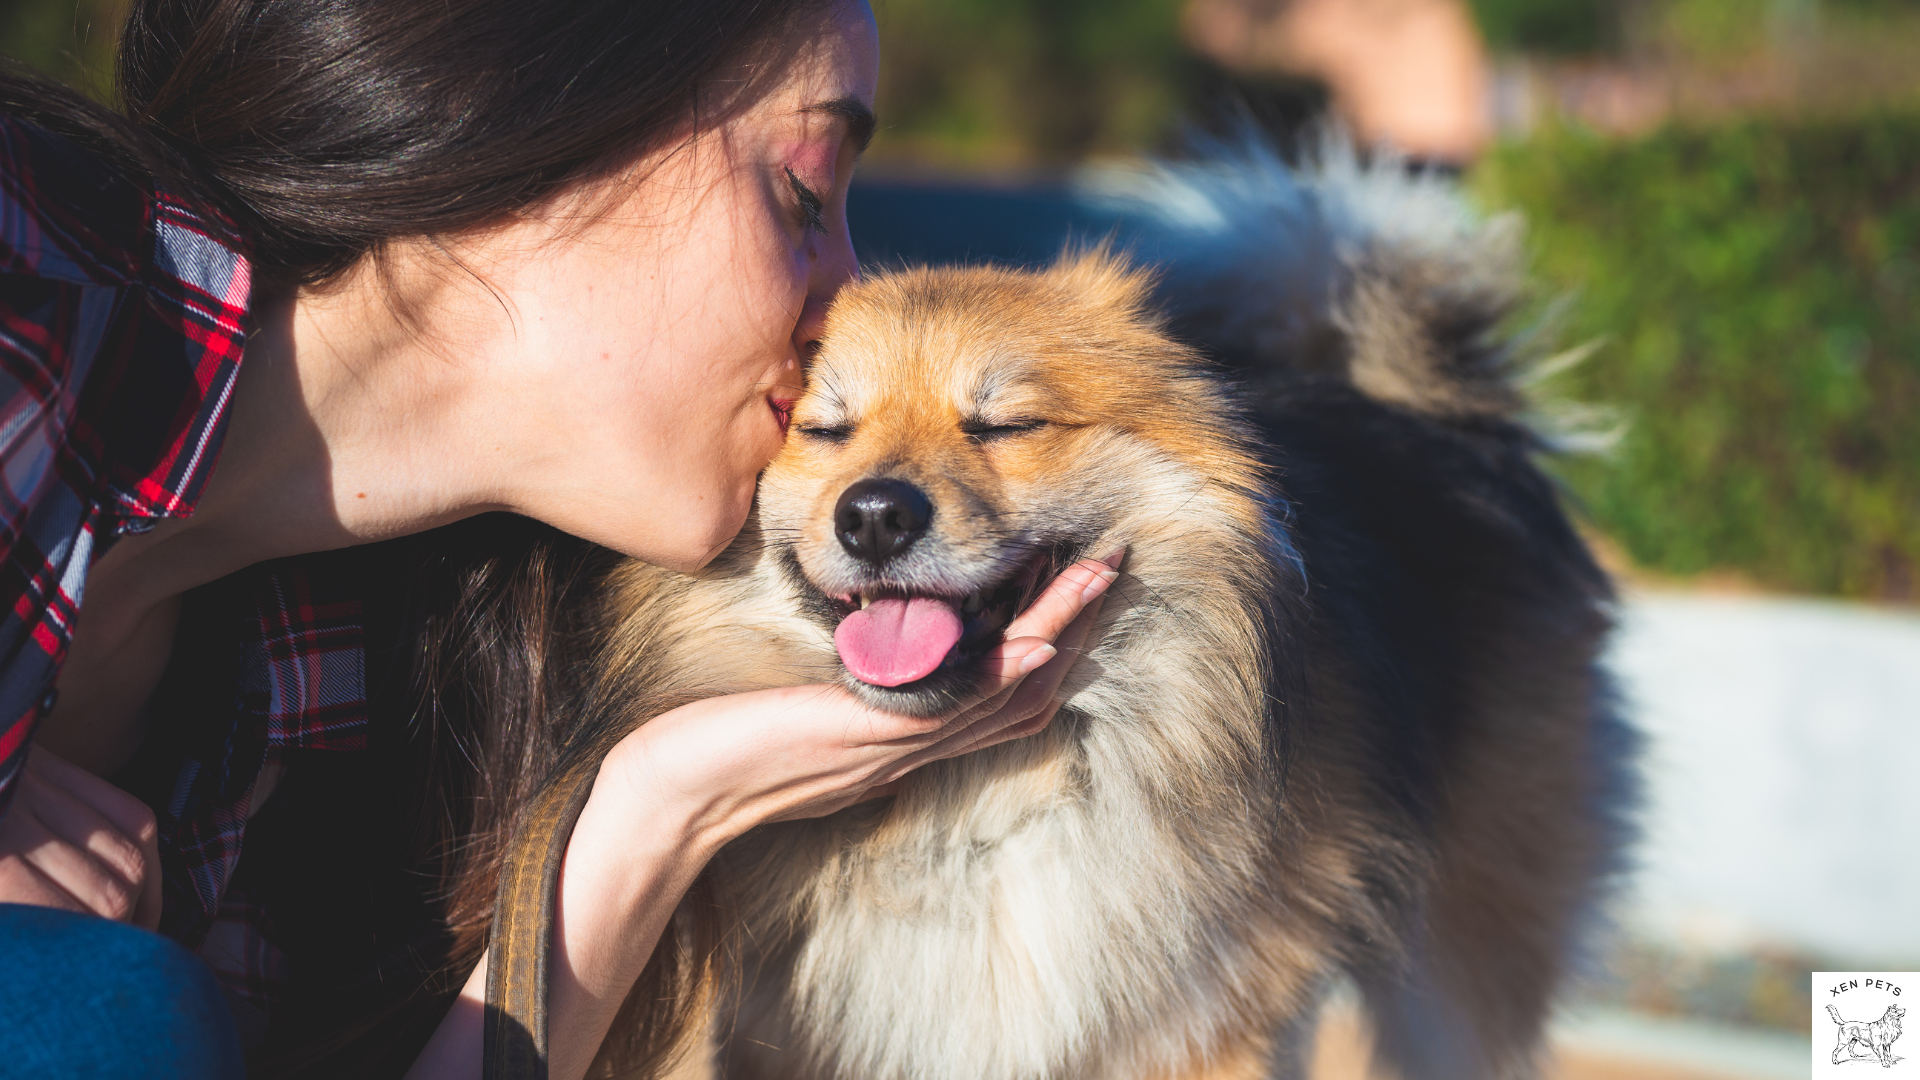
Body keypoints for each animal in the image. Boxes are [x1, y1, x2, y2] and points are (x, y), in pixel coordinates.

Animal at [552, 145, 1635, 1076]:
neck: (971, 803)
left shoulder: (1203, 1033)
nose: (874, 516)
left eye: (1005, 424)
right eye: (823, 430)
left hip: (1464, 972)